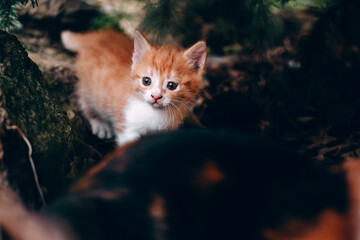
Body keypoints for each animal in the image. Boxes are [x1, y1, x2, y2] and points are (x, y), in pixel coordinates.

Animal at [60, 30, 207, 146]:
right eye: (146, 81)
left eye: (172, 85)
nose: (156, 96)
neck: (155, 113)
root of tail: (97, 35)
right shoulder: (126, 127)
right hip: (88, 86)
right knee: (84, 99)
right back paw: (98, 122)